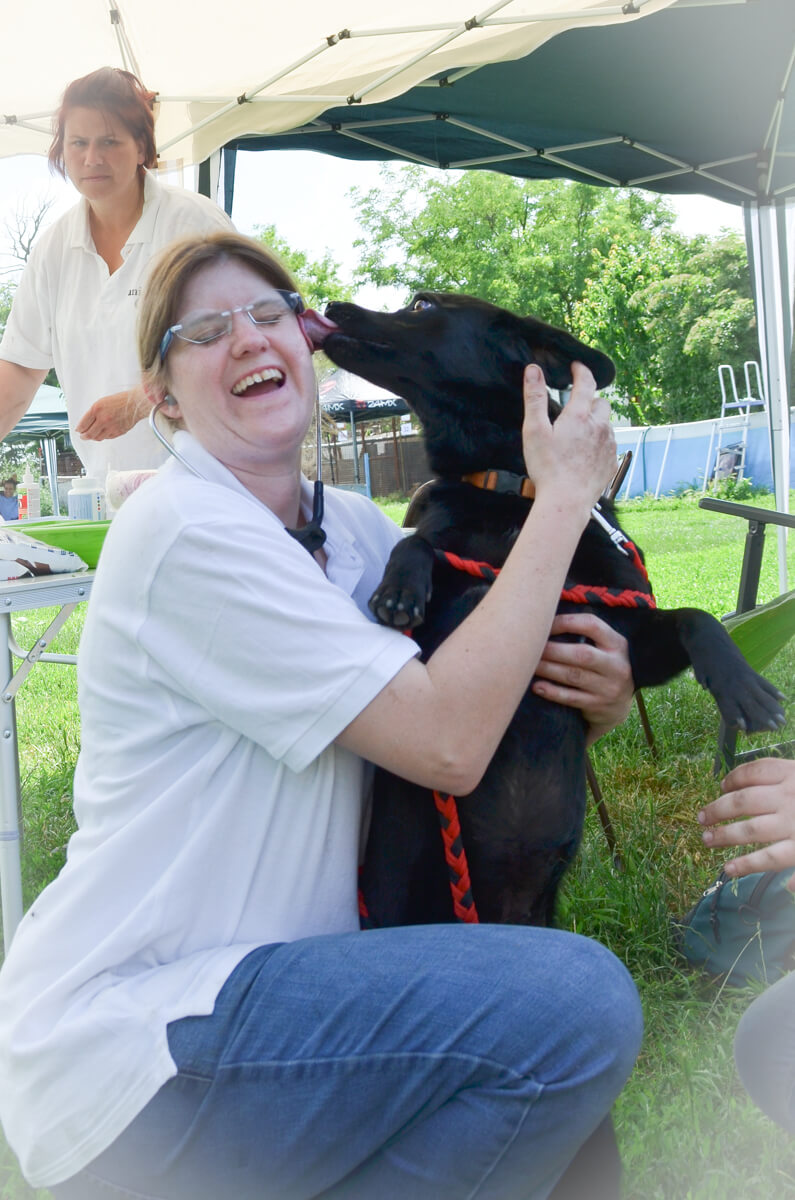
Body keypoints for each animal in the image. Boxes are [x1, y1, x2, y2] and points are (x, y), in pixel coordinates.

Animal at [318, 291, 786, 931]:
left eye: (421, 304)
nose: (329, 304)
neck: (514, 495)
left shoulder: (625, 640)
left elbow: (697, 618)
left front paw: (744, 688)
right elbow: (423, 545)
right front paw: (400, 588)